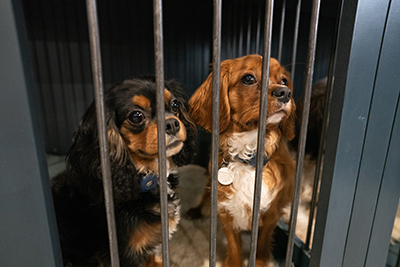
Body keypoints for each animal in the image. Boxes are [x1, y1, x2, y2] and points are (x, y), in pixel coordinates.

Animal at [189, 55, 296, 267]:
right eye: (248, 78)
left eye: (284, 81)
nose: (285, 93)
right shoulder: (226, 211)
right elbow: (234, 246)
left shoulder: (271, 214)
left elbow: (261, 245)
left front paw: (261, 262)